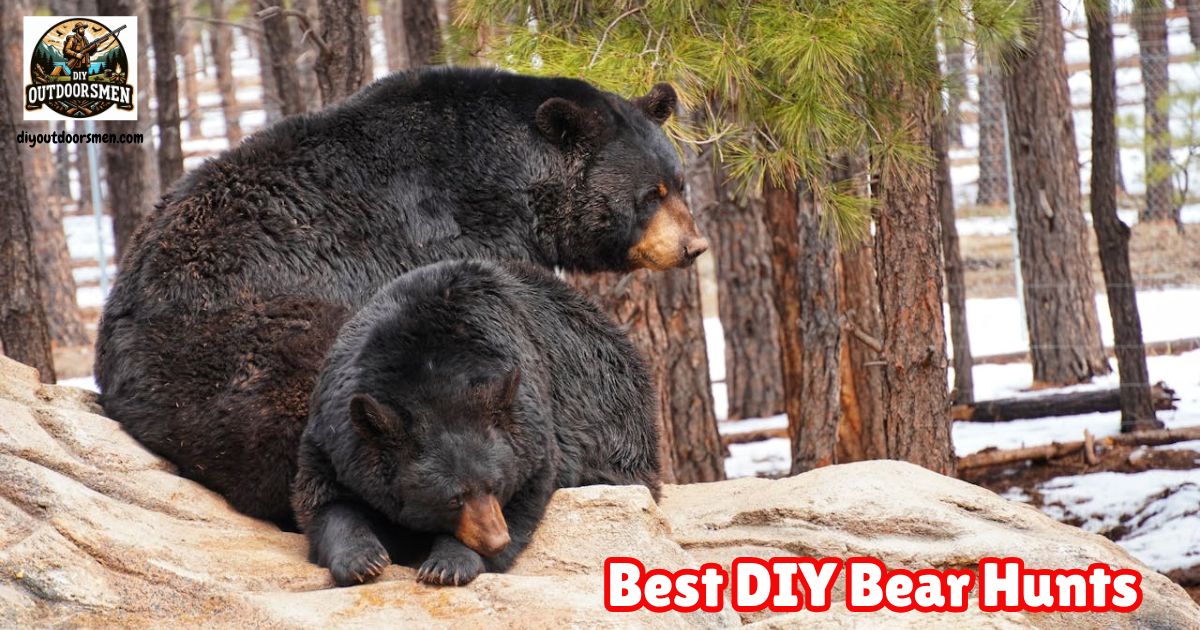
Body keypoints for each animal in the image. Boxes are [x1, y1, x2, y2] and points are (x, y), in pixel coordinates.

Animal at [94, 67, 703, 529]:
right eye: (649, 194)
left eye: (679, 183)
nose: (693, 246)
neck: (511, 180)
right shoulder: (450, 230)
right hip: (250, 348)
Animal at [291, 258, 660, 587]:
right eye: (453, 499)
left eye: (495, 485)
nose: (496, 540)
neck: (430, 373)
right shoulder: (334, 436)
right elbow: (324, 500)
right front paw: (361, 560)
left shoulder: (532, 423)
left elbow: (528, 493)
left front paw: (449, 564)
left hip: (618, 430)